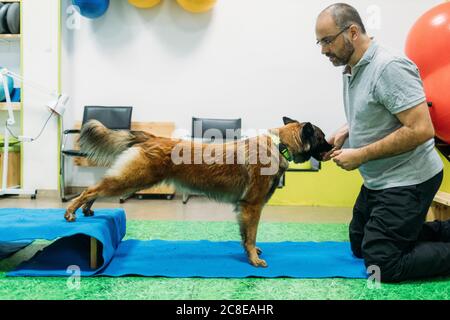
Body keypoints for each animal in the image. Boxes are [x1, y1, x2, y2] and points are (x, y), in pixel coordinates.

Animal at [65, 117, 334, 268]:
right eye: (322, 137)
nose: (334, 146)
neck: (279, 145)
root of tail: (152, 137)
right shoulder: (252, 206)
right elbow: (251, 235)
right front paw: (253, 259)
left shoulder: (246, 208)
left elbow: (246, 235)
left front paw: (250, 253)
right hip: (132, 179)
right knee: (91, 189)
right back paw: (71, 211)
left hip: (130, 180)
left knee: (97, 190)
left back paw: (86, 210)